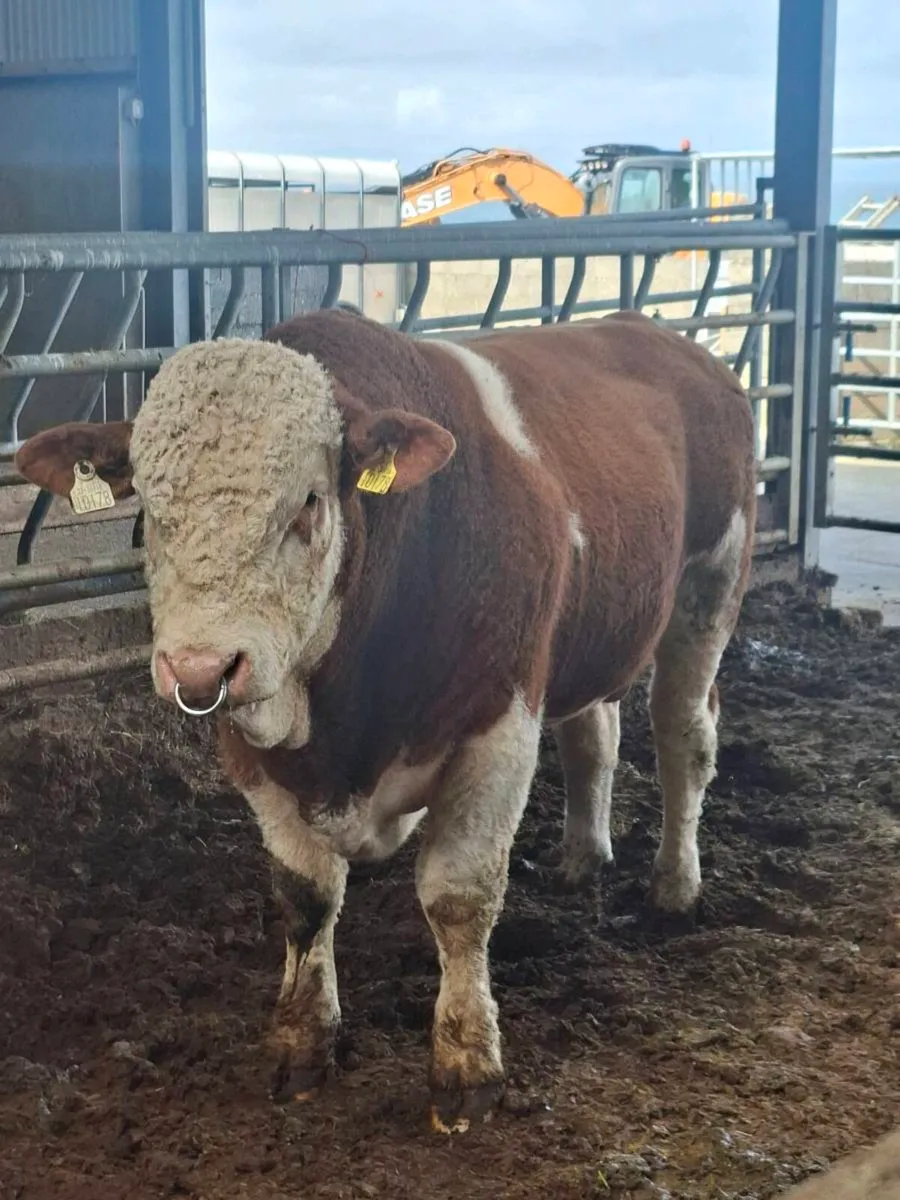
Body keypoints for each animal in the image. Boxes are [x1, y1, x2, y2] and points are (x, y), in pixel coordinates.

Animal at [14, 307, 757, 1133]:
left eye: (309, 501)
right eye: (147, 505)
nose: (201, 669)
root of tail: (661, 336)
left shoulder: (500, 722)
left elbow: (459, 897)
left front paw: (466, 1067)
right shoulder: (252, 748)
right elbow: (304, 894)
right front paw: (303, 1042)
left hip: (710, 586)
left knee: (682, 735)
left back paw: (675, 885)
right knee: (594, 736)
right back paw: (581, 855)